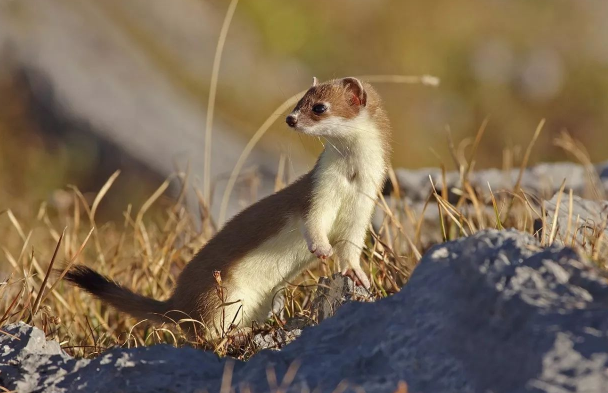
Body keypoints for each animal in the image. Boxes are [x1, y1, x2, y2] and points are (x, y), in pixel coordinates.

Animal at [65, 76, 390, 336]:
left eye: (319, 107)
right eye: (299, 101)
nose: (290, 118)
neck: (351, 180)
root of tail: (178, 302)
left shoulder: (364, 207)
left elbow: (351, 246)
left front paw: (357, 275)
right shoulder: (318, 192)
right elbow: (313, 222)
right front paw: (322, 249)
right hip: (221, 294)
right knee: (207, 332)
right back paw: (236, 333)